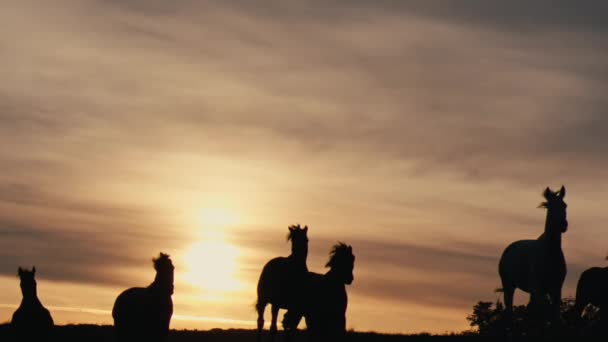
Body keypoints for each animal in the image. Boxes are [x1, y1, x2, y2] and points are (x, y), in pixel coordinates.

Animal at [498, 184, 568, 332]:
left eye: (564, 205)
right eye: (549, 206)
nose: (563, 225)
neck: (549, 254)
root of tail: (508, 249)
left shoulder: (556, 288)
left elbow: (554, 317)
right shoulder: (539, 289)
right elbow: (543, 316)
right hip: (508, 286)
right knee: (509, 311)